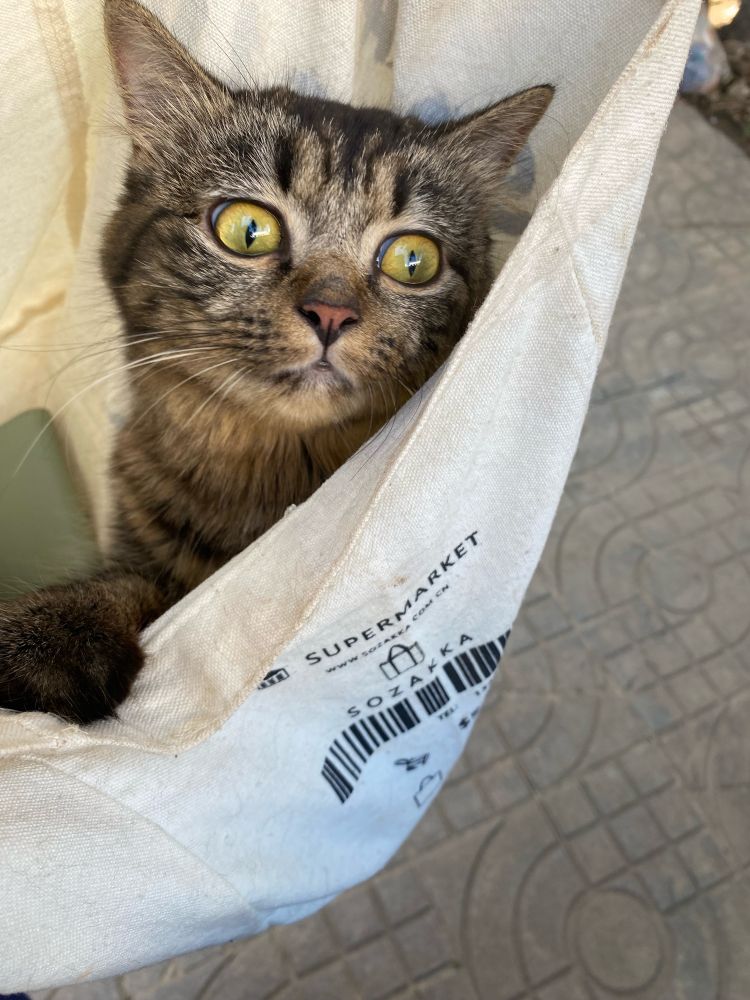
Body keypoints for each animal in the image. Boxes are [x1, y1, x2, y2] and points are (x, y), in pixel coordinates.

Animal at [0, 0, 552, 724]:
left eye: (413, 260)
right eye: (247, 230)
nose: (331, 314)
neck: (272, 470)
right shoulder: (143, 556)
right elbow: (124, 590)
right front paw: (47, 635)